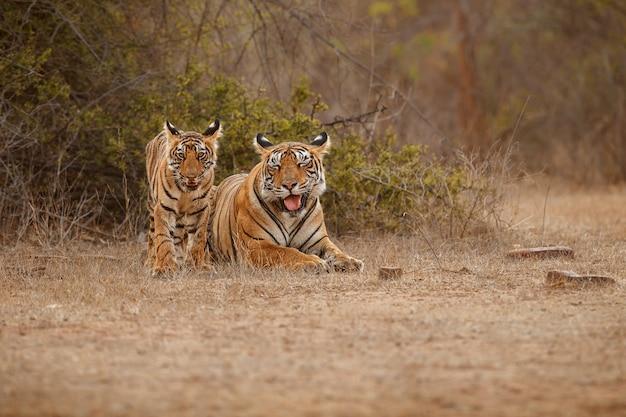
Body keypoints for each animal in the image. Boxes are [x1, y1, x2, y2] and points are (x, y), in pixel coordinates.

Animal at [144, 118, 222, 272]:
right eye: (181, 155)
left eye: (200, 155)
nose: (191, 177)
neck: (185, 192)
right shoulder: (164, 208)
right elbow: (163, 237)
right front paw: (164, 267)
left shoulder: (200, 209)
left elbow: (198, 238)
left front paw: (198, 265)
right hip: (151, 206)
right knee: (152, 236)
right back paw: (151, 262)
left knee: (178, 237)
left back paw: (180, 260)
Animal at [208, 132, 360, 272]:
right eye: (276, 166)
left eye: (302, 163)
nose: (289, 185)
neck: (290, 217)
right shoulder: (256, 244)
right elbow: (287, 252)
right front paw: (314, 261)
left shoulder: (318, 241)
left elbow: (335, 251)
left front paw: (350, 261)